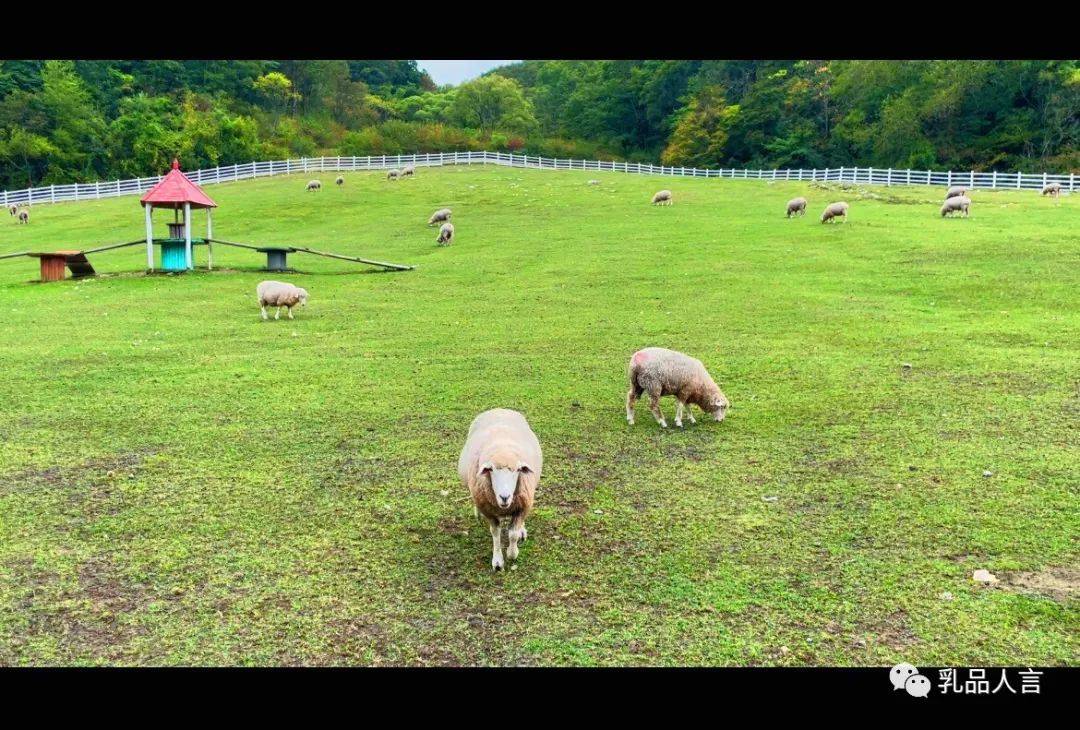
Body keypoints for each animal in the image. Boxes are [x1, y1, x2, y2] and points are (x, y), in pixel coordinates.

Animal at [453, 408, 540, 574]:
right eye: (491, 470)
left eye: (518, 470)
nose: (504, 497)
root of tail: (499, 409)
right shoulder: (488, 510)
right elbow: (496, 533)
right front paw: (498, 561)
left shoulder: (523, 505)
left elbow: (512, 534)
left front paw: (512, 553)